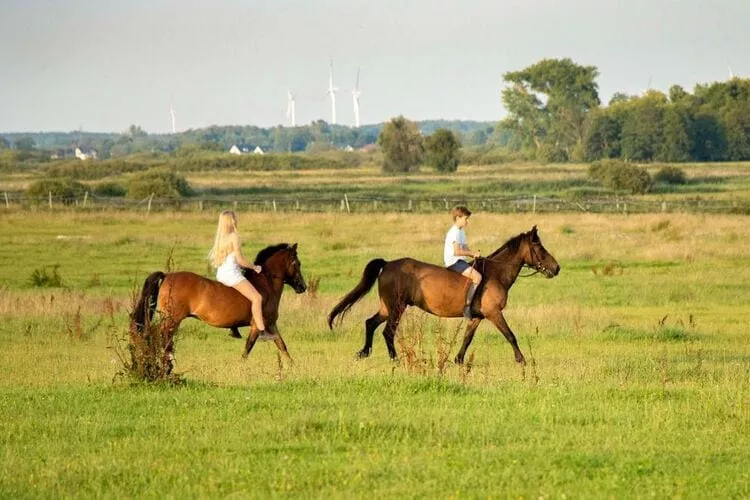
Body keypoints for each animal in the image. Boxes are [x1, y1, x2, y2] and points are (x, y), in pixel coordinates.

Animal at [131, 242, 306, 368]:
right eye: (297, 263)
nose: (303, 287)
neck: (266, 283)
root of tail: (167, 276)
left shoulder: (271, 324)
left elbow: (282, 345)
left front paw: (293, 367)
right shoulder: (257, 326)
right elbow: (247, 348)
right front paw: (240, 367)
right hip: (172, 319)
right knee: (160, 335)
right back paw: (165, 360)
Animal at [332, 227, 560, 364]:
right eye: (540, 248)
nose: (556, 268)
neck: (496, 274)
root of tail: (387, 264)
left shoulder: (477, 317)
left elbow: (467, 338)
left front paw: (458, 360)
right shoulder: (494, 313)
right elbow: (510, 335)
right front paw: (522, 360)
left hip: (387, 307)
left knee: (370, 323)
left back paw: (364, 352)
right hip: (397, 307)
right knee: (388, 332)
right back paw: (394, 359)